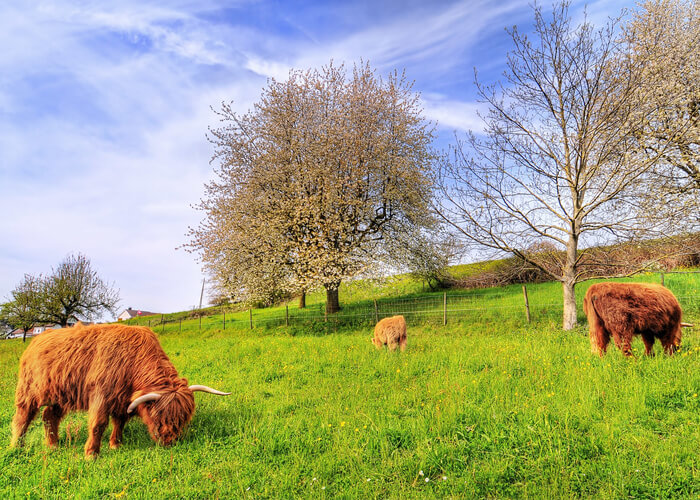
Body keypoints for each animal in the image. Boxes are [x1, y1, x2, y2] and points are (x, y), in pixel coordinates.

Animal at [10, 324, 230, 458]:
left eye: (184, 417)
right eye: (158, 416)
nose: (170, 441)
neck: (132, 361)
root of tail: (38, 338)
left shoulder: (122, 400)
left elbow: (119, 422)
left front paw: (116, 444)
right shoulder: (101, 395)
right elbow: (98, 424)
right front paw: (91, 454)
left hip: (61, 395)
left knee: (49, 416)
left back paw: (53, 445)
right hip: (28, 390)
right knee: (23, 417)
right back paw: (16, 446)